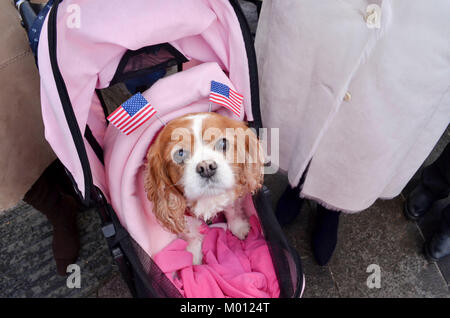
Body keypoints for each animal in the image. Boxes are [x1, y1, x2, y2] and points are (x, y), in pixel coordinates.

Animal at [144, 112, 264, 264]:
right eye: (180, 154)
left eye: (223, 143)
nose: (206, 167)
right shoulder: (183, 213)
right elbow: (190, 233)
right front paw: (194, 254)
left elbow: (232, 210)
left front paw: (239, 227)